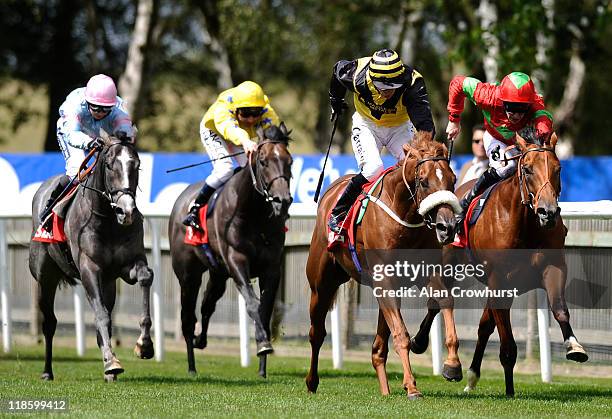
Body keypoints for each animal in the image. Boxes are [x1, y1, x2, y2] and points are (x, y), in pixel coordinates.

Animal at [28, 135, 154, 384]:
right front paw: (112, 363)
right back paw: (47, 371)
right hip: (45, 278)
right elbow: (102, 316)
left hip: (108, 283)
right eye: (110, 165)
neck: (107, 220)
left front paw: (144, 345)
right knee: (50, 323)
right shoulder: (89, 269)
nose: (127, 211)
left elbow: (145, 277)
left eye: (136, 165)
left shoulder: (127, 265)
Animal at [167, 124, 292, 380]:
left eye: (290, 161)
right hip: (188, 275)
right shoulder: (237, 261)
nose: (282, 201)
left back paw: (201, 340)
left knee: (207, 305)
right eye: (263, 161)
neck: (253, 212)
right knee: (187, 317)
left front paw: (262, 365)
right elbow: (253, 304)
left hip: (218, 274)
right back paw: (191, 366)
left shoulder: (271, 268)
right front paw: (263, 345)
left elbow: (264, 310)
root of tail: (182, 199)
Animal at [306, 132, 464, 400]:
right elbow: (401, 334)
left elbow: (445, 303)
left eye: (452, 180)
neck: (404, 213)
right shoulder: (384, 279)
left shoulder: (425, 273)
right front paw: (412, 386)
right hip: (321, 284)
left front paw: (452, 365)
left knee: (377, 349)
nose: (448, 227)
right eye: (424, 182)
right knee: (316, 333)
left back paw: (385, 390)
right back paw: (311, 381)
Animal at [412, 131, 588, 398]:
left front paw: (574, 346)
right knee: (437, 301)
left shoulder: (553, 268)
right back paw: (422, 344)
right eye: (527, 169)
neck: (526, 223)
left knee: (483, 325)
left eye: (558, 169)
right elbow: (507, 344)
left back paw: (471, 376)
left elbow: (559, 308)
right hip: (449, 264)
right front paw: (510, 390)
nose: (547, 212)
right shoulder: (499, 280)